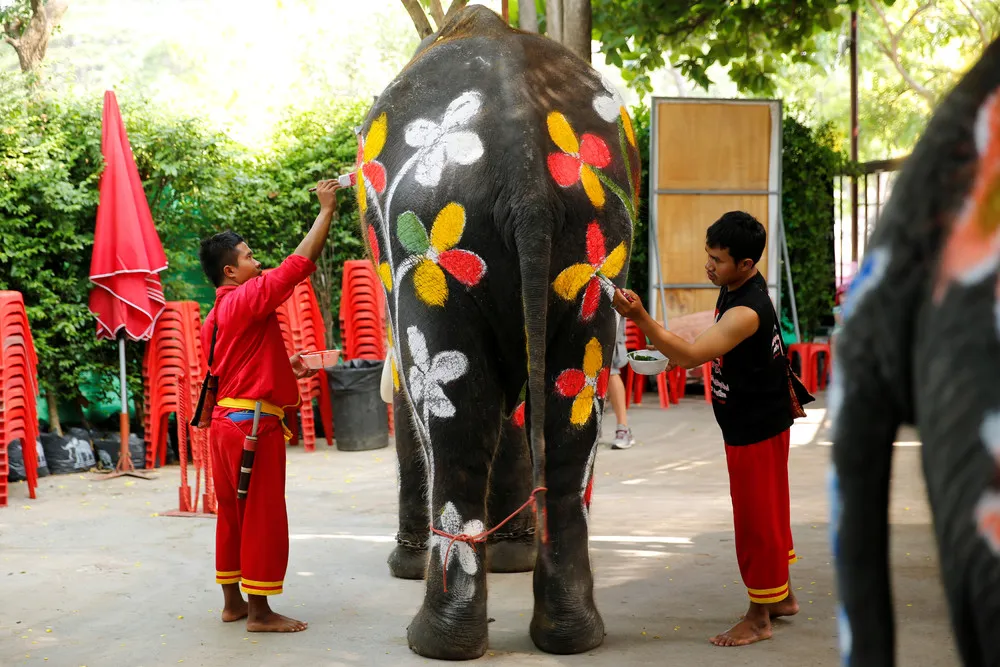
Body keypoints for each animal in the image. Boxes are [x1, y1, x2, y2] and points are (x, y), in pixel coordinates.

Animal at [356, 6, 636, 664]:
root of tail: (526, 169)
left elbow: (410, 393)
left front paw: (404, 567)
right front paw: (514, 558)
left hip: (436, 242)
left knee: (456, 420)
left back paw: (434, 641)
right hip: (595, 253)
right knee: (566, 414)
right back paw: (570, 635)